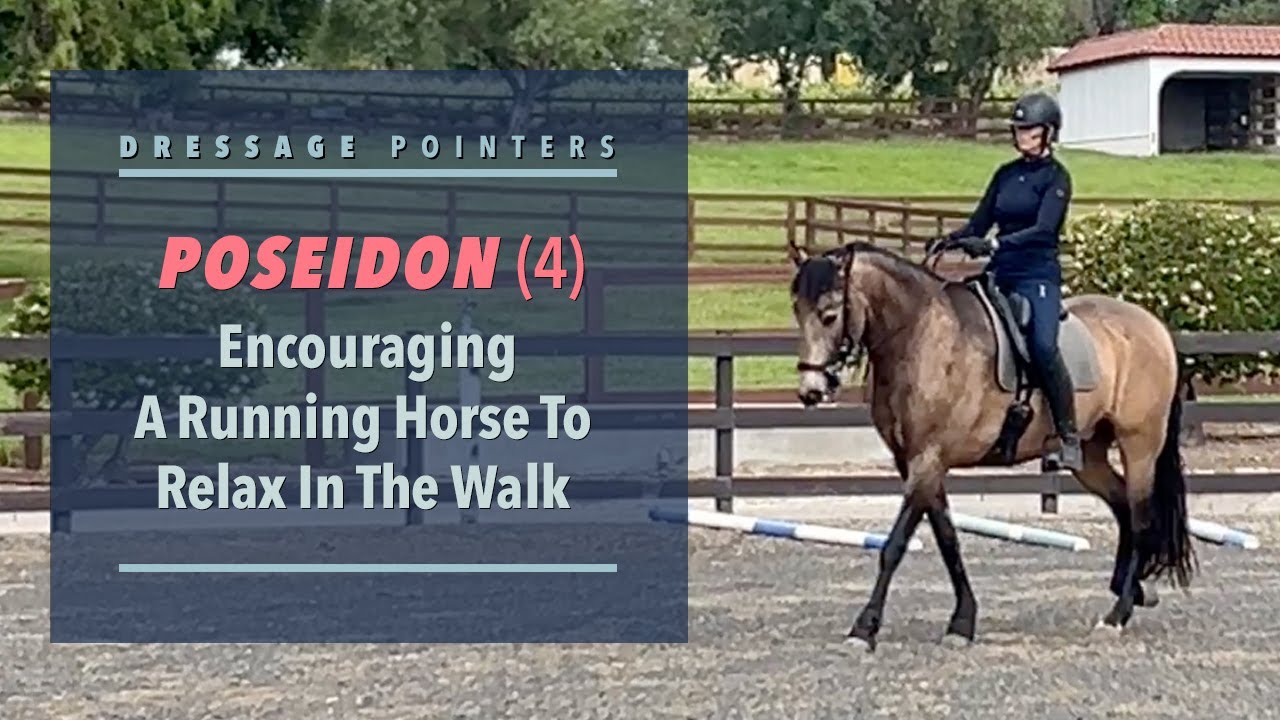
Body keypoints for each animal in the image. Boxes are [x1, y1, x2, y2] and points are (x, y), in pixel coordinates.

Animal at [788, 240, 1197, 652]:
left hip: (1139, 444)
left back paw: (1117, 615)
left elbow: (896, 544)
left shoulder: (928, 459)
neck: (922, 337)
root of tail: (1154, 326)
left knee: (1141, 518)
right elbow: (948, 538)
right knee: (1122, 507)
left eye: (829, 315)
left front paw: (864, 629)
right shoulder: (916, 463)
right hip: (1090, 455)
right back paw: (1133, 592)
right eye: (797, 310)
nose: (811, 391)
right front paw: (962, 621)